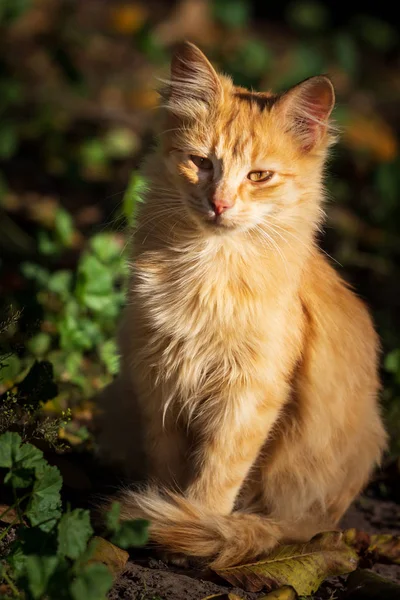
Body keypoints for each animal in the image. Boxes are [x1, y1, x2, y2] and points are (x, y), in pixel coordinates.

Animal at [100, 41, 388, 568]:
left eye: (259, 176)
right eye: (201, 163)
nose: (220, 203)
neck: (208, 270)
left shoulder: (250, 392)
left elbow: (217, 476)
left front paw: (189, 525)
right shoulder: (158, 374)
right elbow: (167, 463)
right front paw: (164, 513)